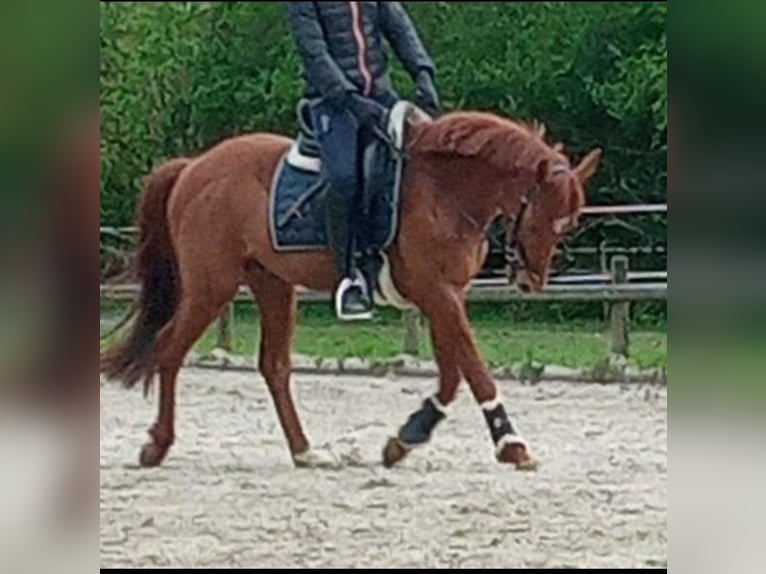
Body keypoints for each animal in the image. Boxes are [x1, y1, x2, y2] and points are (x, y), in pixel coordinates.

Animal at [99, 107, 604, 472]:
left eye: (568, 223)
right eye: (547, 218)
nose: (531, 281)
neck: (444, 190)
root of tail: (195, 166)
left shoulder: (444, 294)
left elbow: (451, 373)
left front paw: (405, 439)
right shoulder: (437, 292)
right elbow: (474, 369)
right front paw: (511, 444)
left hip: (272, 284)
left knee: (274, 366)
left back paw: (305, 451)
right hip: (211, 285)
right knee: (170, 349)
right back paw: (157, 446)